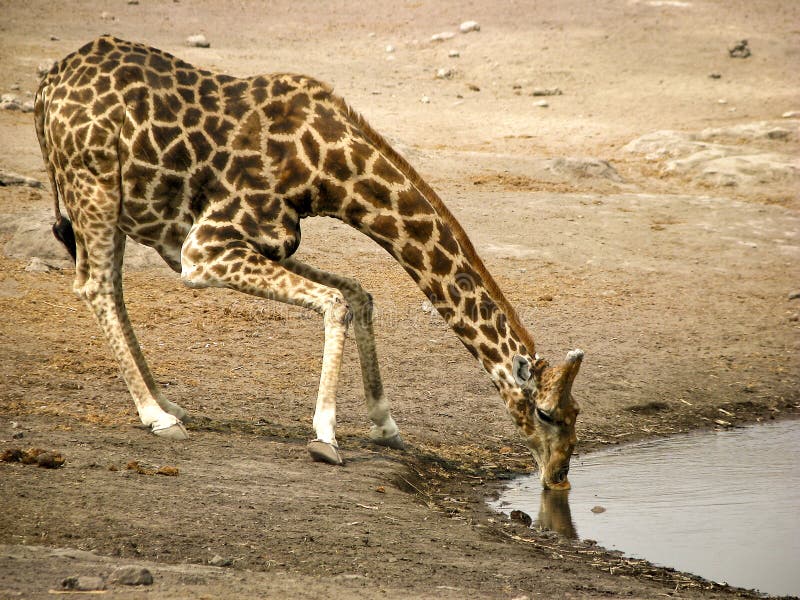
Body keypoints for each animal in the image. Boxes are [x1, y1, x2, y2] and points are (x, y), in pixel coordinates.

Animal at [34, 36, 584, 488]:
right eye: (545, 413)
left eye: (576, 411)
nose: (559, 476)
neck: (326, 170)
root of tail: (46, 88)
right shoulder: (202, 251)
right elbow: (336, 301)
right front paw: (326, 437)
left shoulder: (268, 243)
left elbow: (358, 292)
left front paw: (386, 425)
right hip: (94, 187)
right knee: (97, 285)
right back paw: (156, 415)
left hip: (113, 205)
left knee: (112, 287)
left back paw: (166, 402)